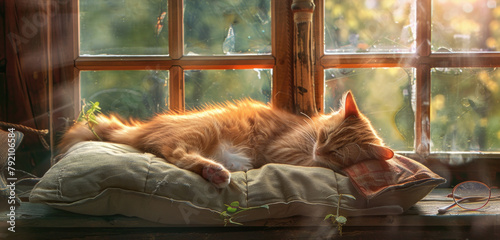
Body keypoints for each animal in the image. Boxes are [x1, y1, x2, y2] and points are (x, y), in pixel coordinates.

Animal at [59, 92, 394, 188]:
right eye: (325, 136)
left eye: (337, 150)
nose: (321, 149)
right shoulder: (282, 149)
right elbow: (310, 162)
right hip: (206, 129)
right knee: (174, 152)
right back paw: (214, 171)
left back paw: (214, 171)